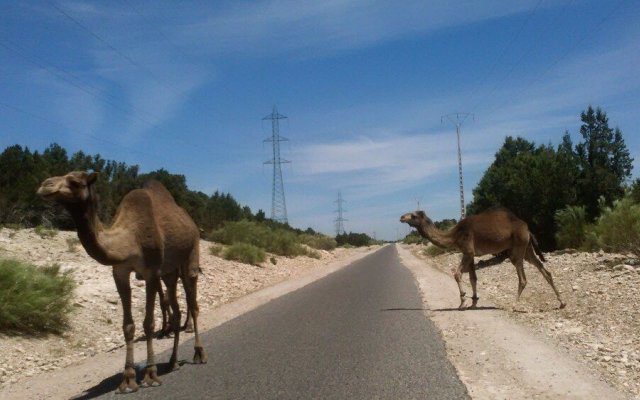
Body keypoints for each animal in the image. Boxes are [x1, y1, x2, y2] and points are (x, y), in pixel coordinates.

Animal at [37, 170, 206, 392]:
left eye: (74, 181)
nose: (45, 185)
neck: (128, 240)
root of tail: (192, 223)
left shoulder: (151, 271)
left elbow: (148, 322)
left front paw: (150, 374)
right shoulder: (120, 272)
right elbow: (128, 325)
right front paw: (128, 379)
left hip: (190, 257)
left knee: (193, 304)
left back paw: (199, 354)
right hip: (169, 271)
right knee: (177, 310)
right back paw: (172, 362)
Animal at [398, 208, 568, 310]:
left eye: (413, 215)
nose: (401, 217)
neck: (453, 236)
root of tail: (527, 228)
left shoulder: (467, 250)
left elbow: (457, 274)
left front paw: (463, 302)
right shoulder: (471, 254)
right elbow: (473, 278)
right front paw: (474, 301)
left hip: (518, 247)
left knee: (523, 278)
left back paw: (514, 305)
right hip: (527, 248)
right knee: (545, 271)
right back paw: (562, 302)